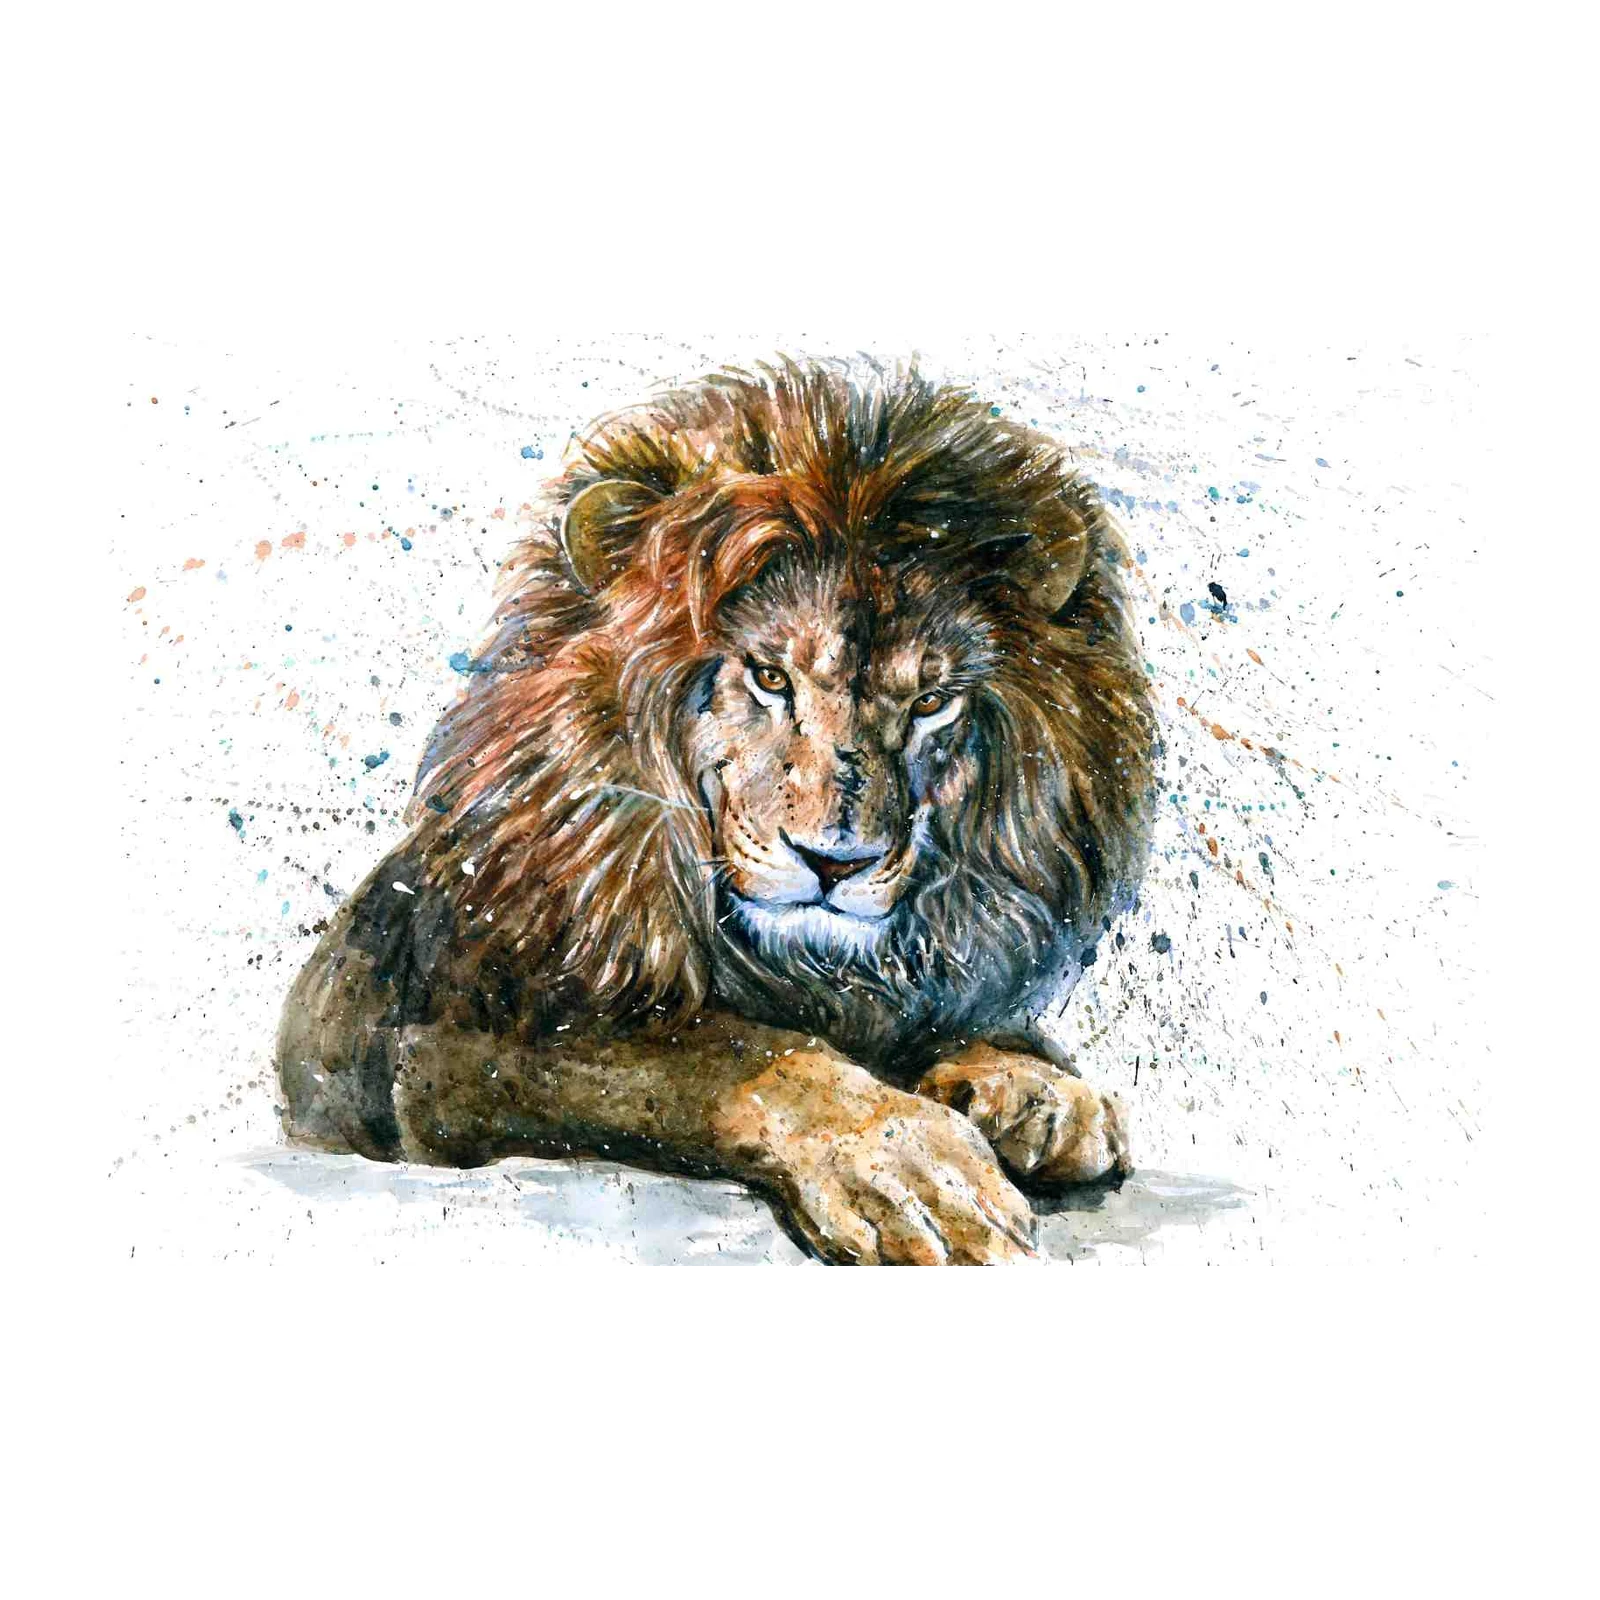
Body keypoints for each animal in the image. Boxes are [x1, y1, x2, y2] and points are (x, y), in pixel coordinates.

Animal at [277, 358, 1157, 1266]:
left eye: (931, 703)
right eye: (768, 676)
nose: (835, 862)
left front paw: (1037, 1087)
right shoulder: (438, 1048)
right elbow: (734, 1054)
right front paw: (905, 1163)